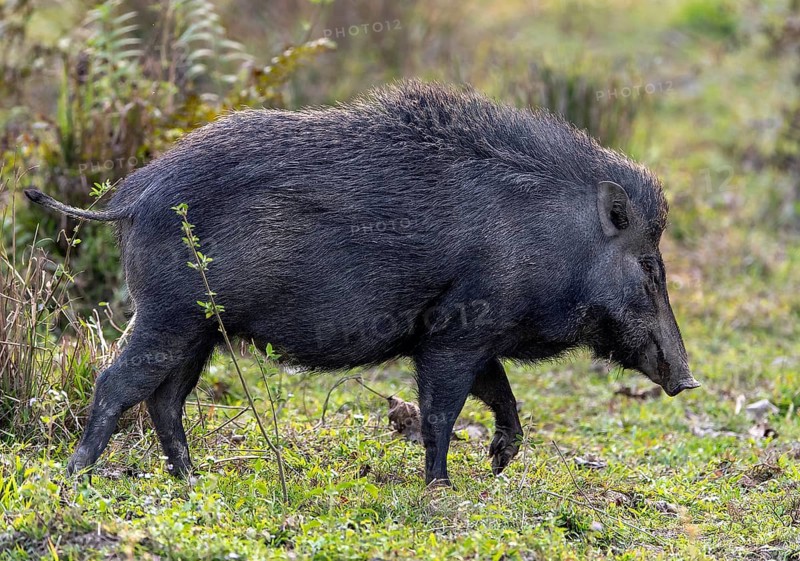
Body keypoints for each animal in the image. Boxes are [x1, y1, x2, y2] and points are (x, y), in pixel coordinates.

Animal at [25, 80, 699, 486]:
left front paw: (499, 463)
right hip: (171, 311)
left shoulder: (466, 335)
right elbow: (443, 411)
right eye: (648, 265)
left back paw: (191, 480)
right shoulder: (456, 333)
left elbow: (501, 395)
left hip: (199, 328)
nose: (688, 380)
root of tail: (129, 199)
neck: (549, 236)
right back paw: (75, 477)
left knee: (166, 398)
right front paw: (442, 487)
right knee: (118, 382)